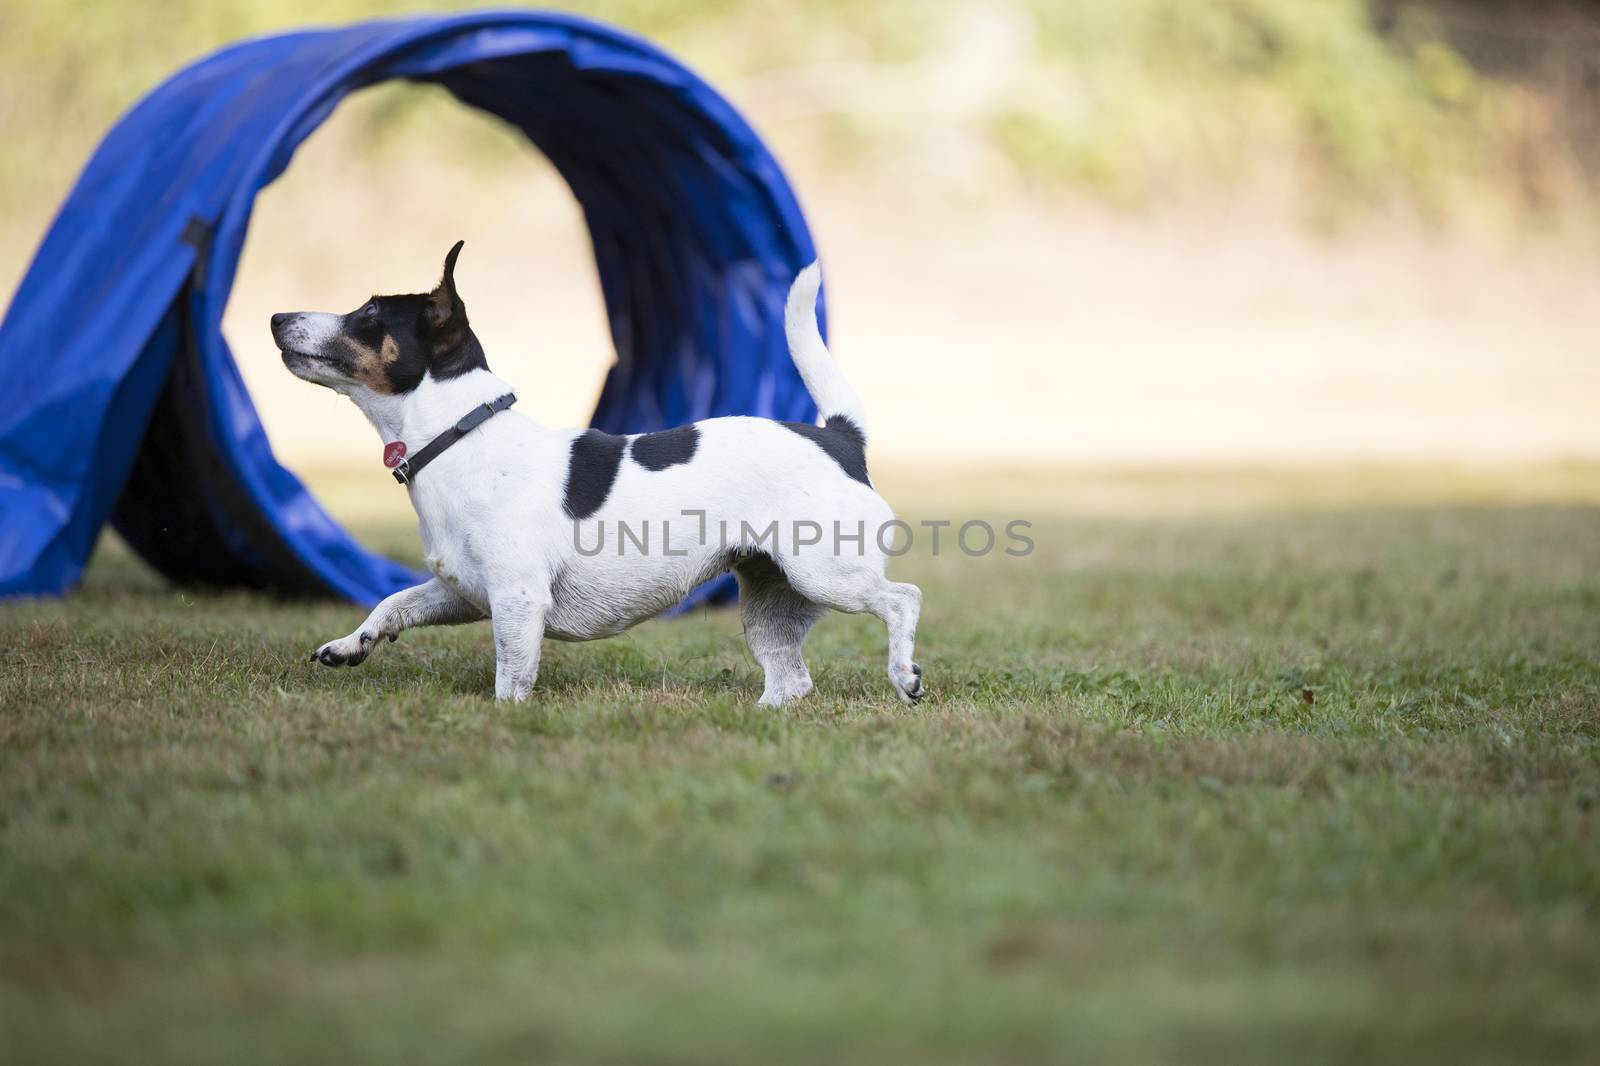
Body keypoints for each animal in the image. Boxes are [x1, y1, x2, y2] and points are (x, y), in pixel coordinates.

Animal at [272, 243, 928, 701]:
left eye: (368, 314)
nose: (277, 316)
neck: (460, 437)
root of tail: (840, 438)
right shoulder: (464, 592)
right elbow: (393, 603)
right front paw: (348, 646)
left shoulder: (518, 601)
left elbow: (510, 679)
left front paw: (505, 718)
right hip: (772, 600)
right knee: (792, 681)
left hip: (827, 574)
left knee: (903, 599)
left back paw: (904, 675)